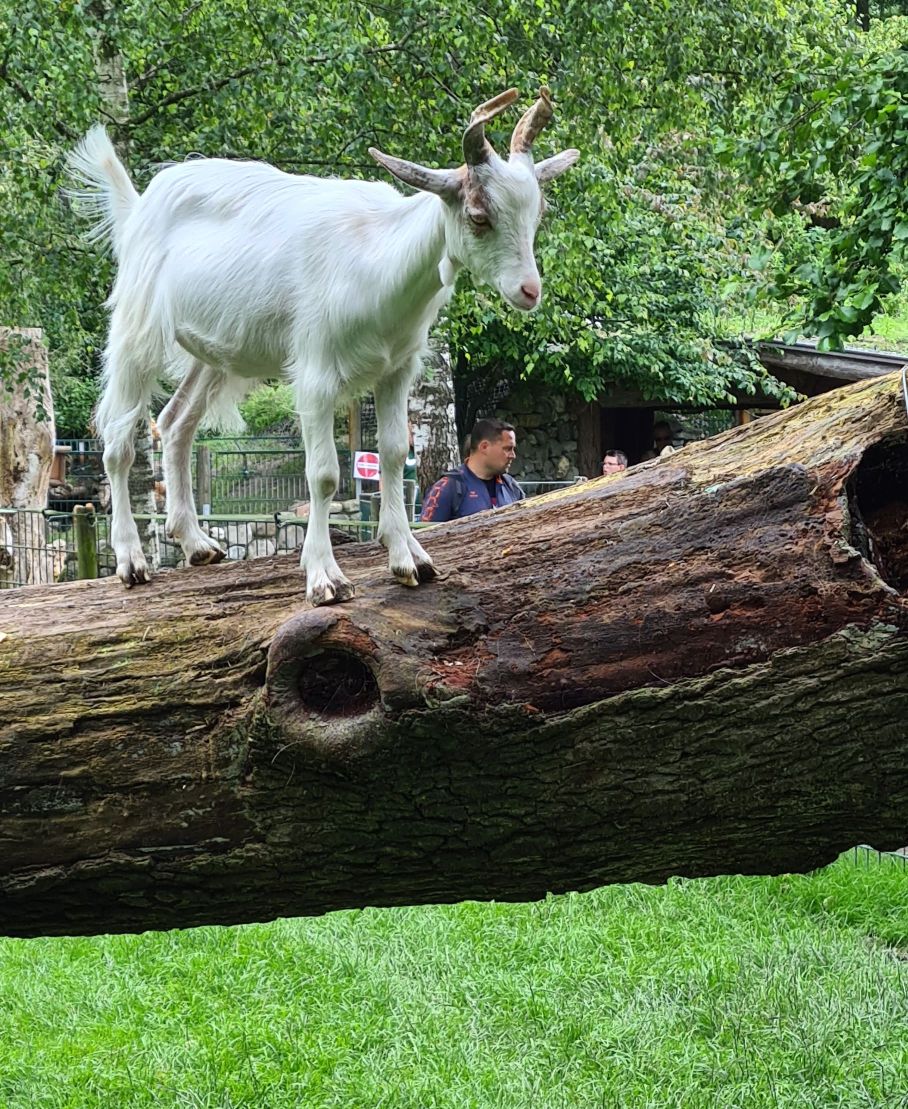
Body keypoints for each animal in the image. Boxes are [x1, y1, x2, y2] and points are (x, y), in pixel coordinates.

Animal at [67, 88, 579, 605]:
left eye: (537, 213)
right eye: (478, 216)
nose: (529, 291)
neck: (377, 260)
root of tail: (139, 207)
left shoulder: (397, 370)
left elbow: (394, 454)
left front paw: (409, 557)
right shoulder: (315, 373)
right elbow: (326, 474)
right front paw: (324, 576)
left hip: (215, 352)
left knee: (175, 423)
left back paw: (196, 543)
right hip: (137, 330)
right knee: (118, 442)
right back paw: (131, 561)